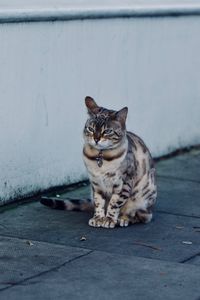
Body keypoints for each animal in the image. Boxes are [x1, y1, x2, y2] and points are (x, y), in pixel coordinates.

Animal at [40, 97, 156, 229]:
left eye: (107, 131)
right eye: (91, 129)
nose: (96, 139)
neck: (101, 158)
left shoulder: (123, 183)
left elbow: (114, 204)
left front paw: (109, 220)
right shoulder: (96, 184)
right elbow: (98, 202)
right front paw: (98, 218)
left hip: (143, 198)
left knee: (143, 216)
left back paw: (124, 219)